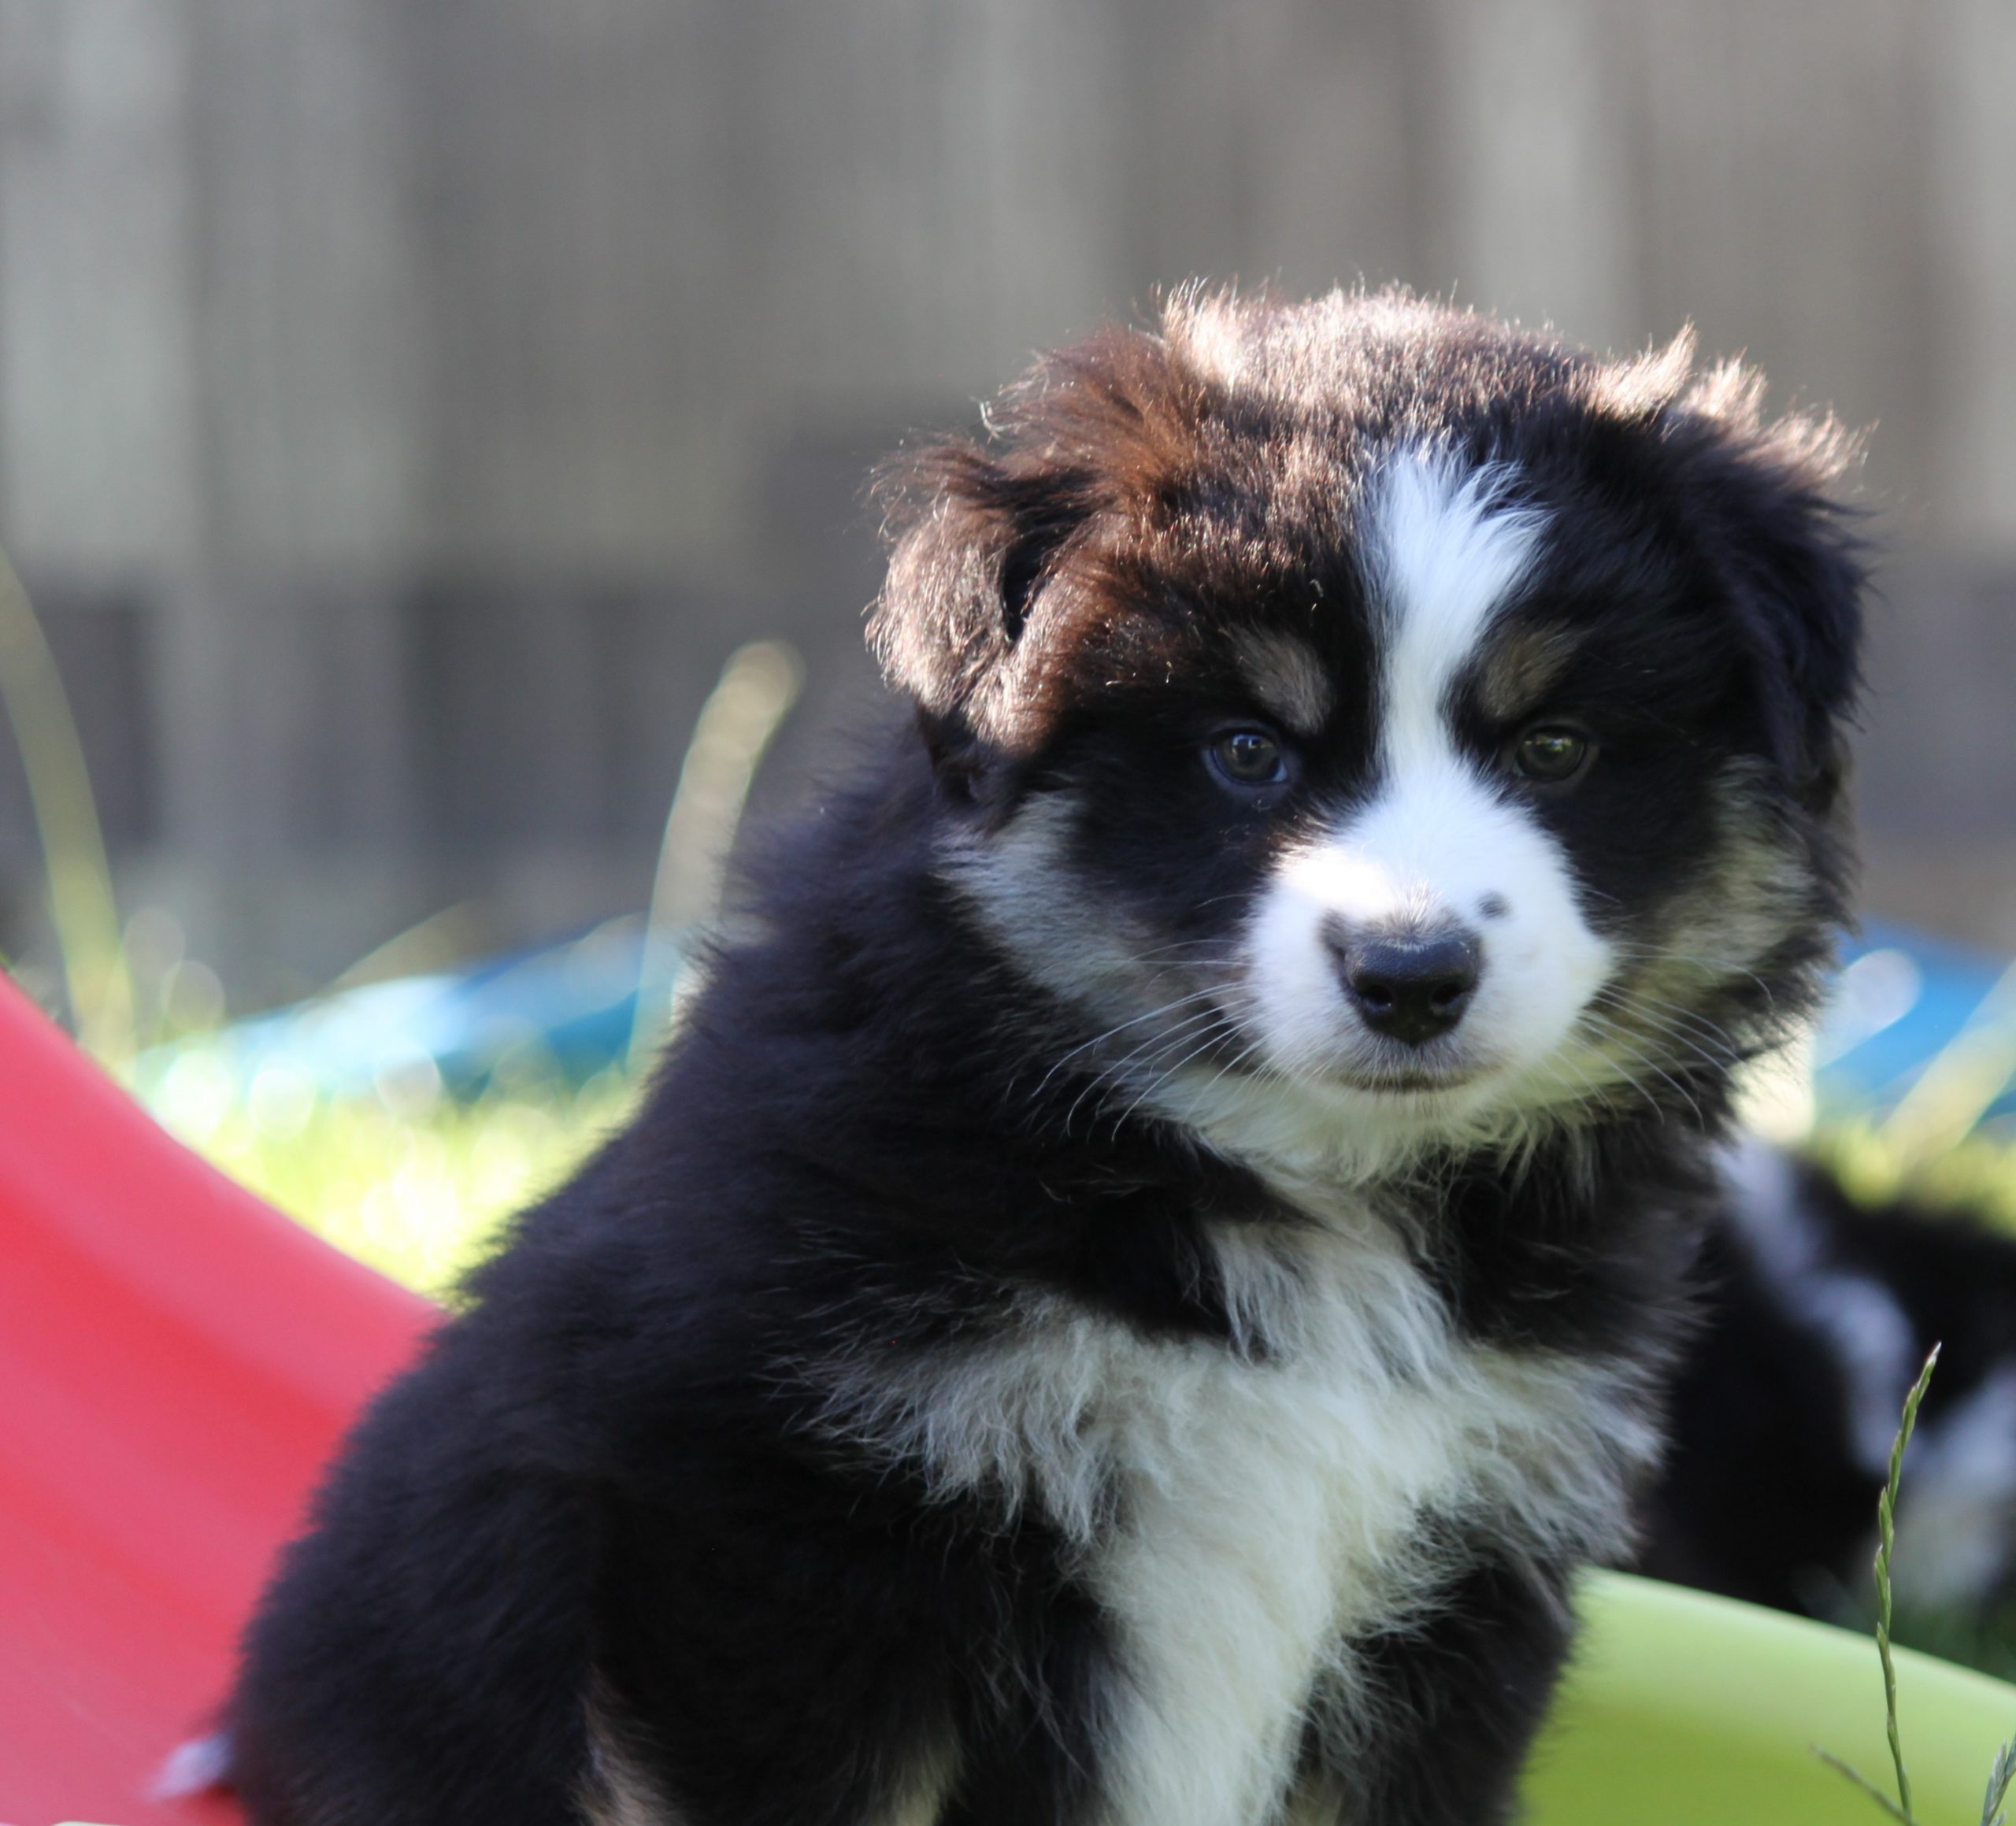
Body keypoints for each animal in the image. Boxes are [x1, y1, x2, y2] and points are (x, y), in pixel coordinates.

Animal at [228, 292, 1862, 1813]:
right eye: (1247, 750)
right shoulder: (773, 1530)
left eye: (1556, 748)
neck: (1305, 1188)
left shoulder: (1471, 1572)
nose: (1410, 973)